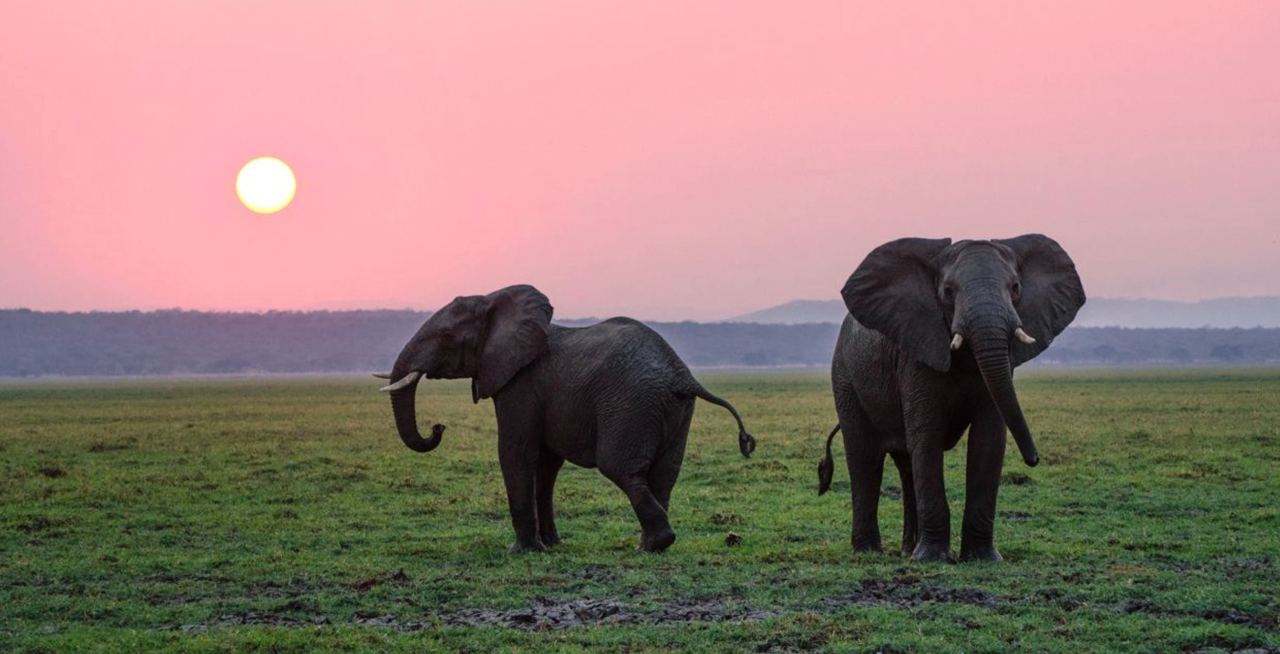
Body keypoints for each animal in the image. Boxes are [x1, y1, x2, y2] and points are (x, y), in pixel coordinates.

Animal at [378, 285, 757, 552]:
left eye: (446, 338)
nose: (438, 427)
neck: (493, 300)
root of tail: (682, 374)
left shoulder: (521, 383)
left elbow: (516, 451)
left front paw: (522, 551)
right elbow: (546, 465)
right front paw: (552, 546)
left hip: (631, 404)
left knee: (620, 467)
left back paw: (654, 544)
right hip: (674, 409)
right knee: (664, 474)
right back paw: (651, 545)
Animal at [819, 235, 1080, 563]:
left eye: (1016, 287)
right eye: (947, 291)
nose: (1034, 459)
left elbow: (988, 439)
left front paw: (982, 559)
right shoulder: (917, 351)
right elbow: (927, 436)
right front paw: (933, 559)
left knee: (907, 464)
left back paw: (908, 551)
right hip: (845, 379)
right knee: (866, 458)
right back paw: (869, 552)